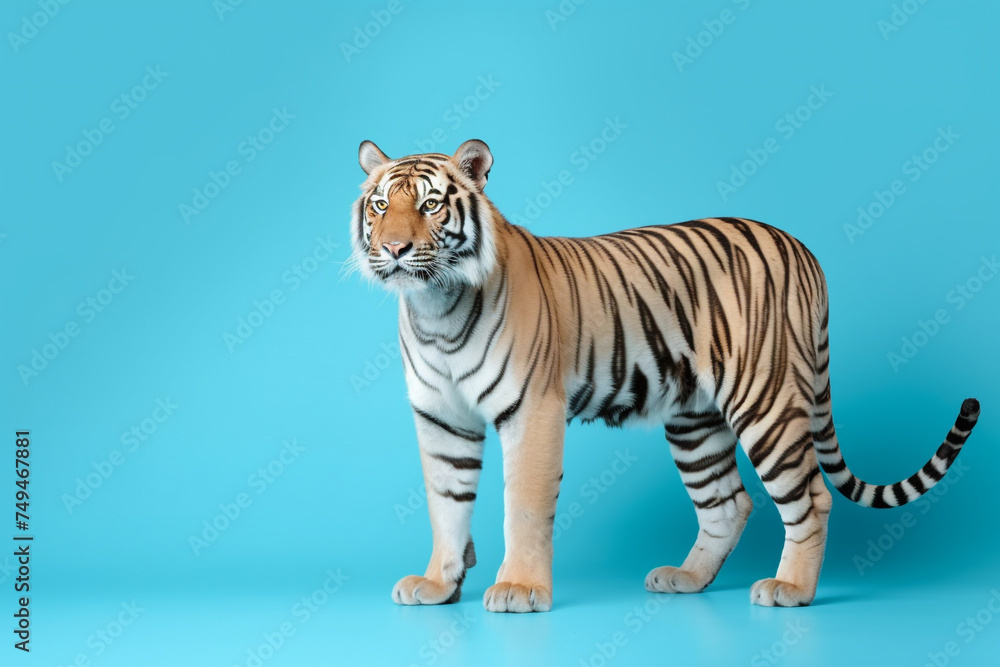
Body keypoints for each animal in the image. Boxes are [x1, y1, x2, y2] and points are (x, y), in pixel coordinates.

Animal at [349, 138, 981, 613]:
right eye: (379, 206)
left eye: (431, 206)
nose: (395, 249)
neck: (436, 308)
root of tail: (802, 249)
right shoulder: (442, 419)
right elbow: (446, 503)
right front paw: (439, 583)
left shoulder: (531, 410)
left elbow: (523, 504)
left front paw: (519, 588)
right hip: (695, 419)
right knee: (728, 503)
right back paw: (687, 578)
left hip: (766, 401)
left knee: (811, 496)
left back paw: (791, 588)